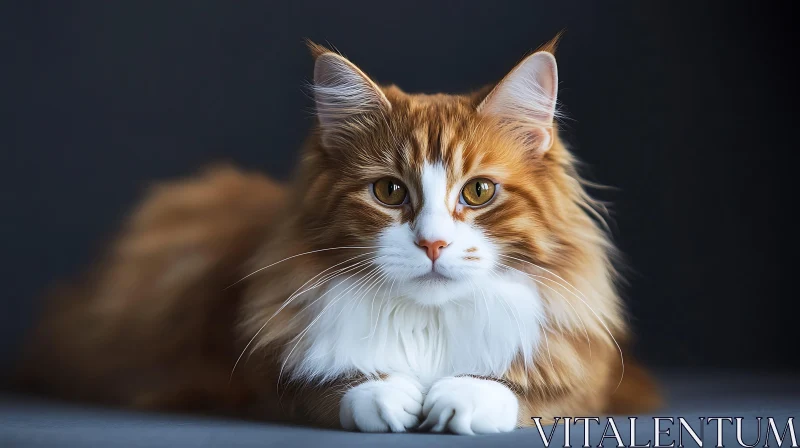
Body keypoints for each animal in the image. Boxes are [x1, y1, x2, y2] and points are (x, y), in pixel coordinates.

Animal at [18, 36, 660, 436]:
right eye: (390, 192)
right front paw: (386, 395)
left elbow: (533, 392)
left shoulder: (594, 377)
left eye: (478, 192)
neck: (427, 325)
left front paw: (462, 396)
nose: (432, 244)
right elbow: (331, 387)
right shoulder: (256, 376)